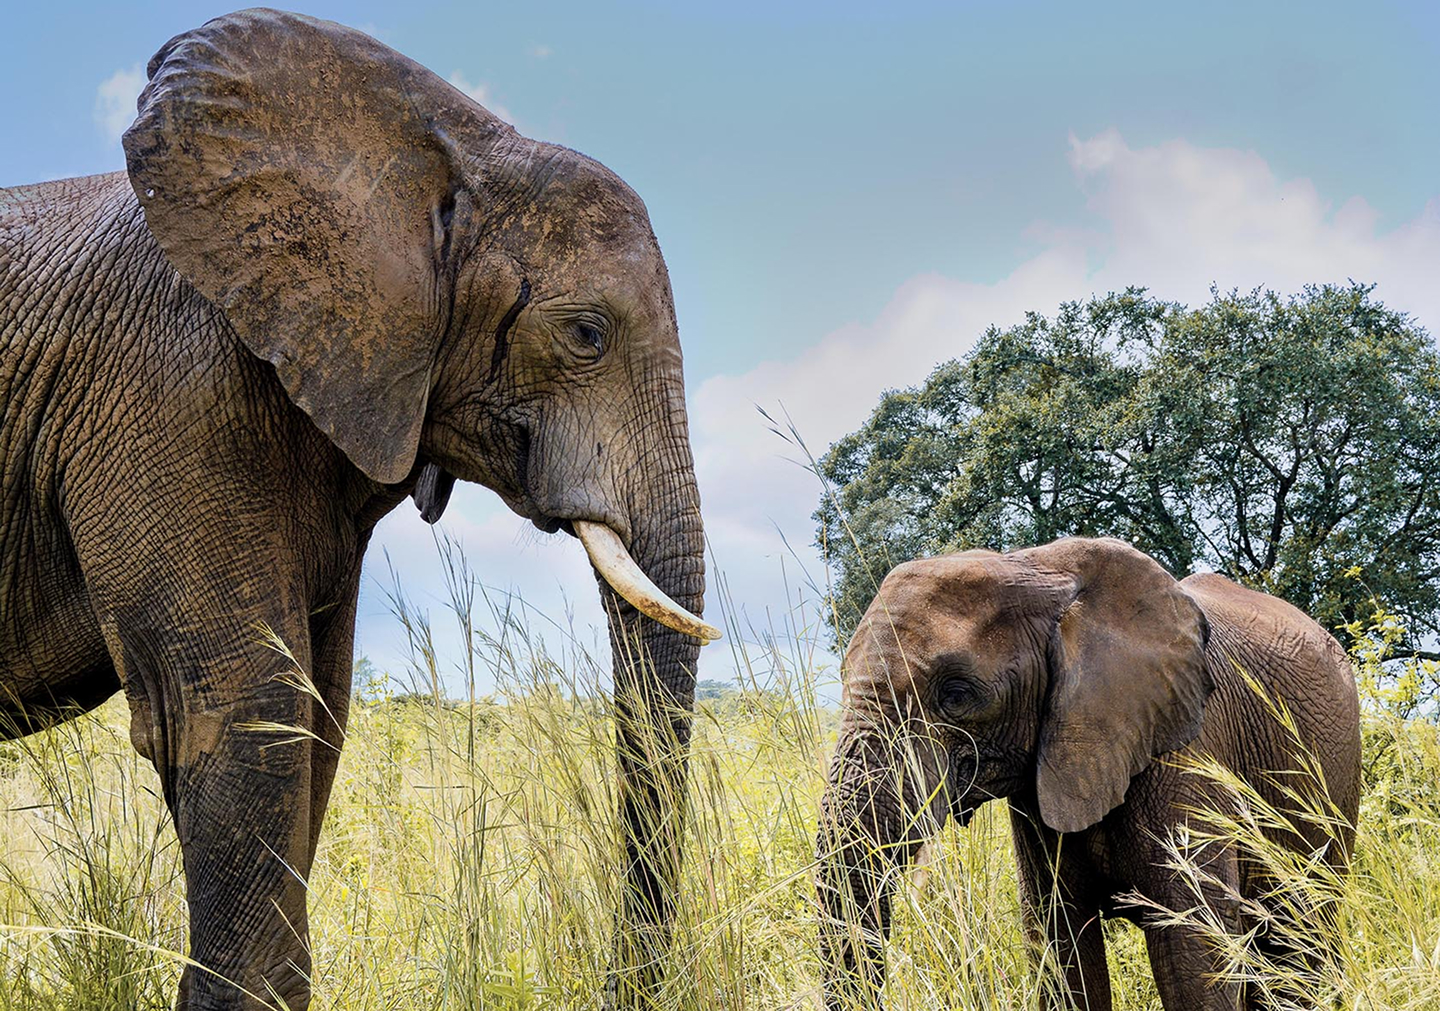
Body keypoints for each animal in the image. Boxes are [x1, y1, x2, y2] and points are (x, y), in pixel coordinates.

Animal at [0, 9, 719, 1009]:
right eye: (587, 334)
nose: (621, 980)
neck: (449, 152)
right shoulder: (168, 391)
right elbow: (243, 704)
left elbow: (321, 710)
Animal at [816, 537, 1360, 1010]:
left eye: (956, 694)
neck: (1036, 569)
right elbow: (1059, 946)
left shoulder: (1183, 752)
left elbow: (1194, 951)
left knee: (1301, 936)